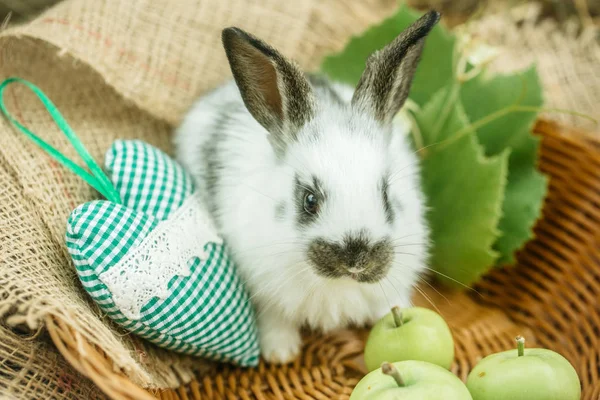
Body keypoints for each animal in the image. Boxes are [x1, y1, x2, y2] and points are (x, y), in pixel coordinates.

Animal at [173, 10, 440, 364]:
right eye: (309, 200)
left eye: (386, 196)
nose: (356, 261)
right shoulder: (265, 292)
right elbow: (274, 319)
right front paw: (280, 354)